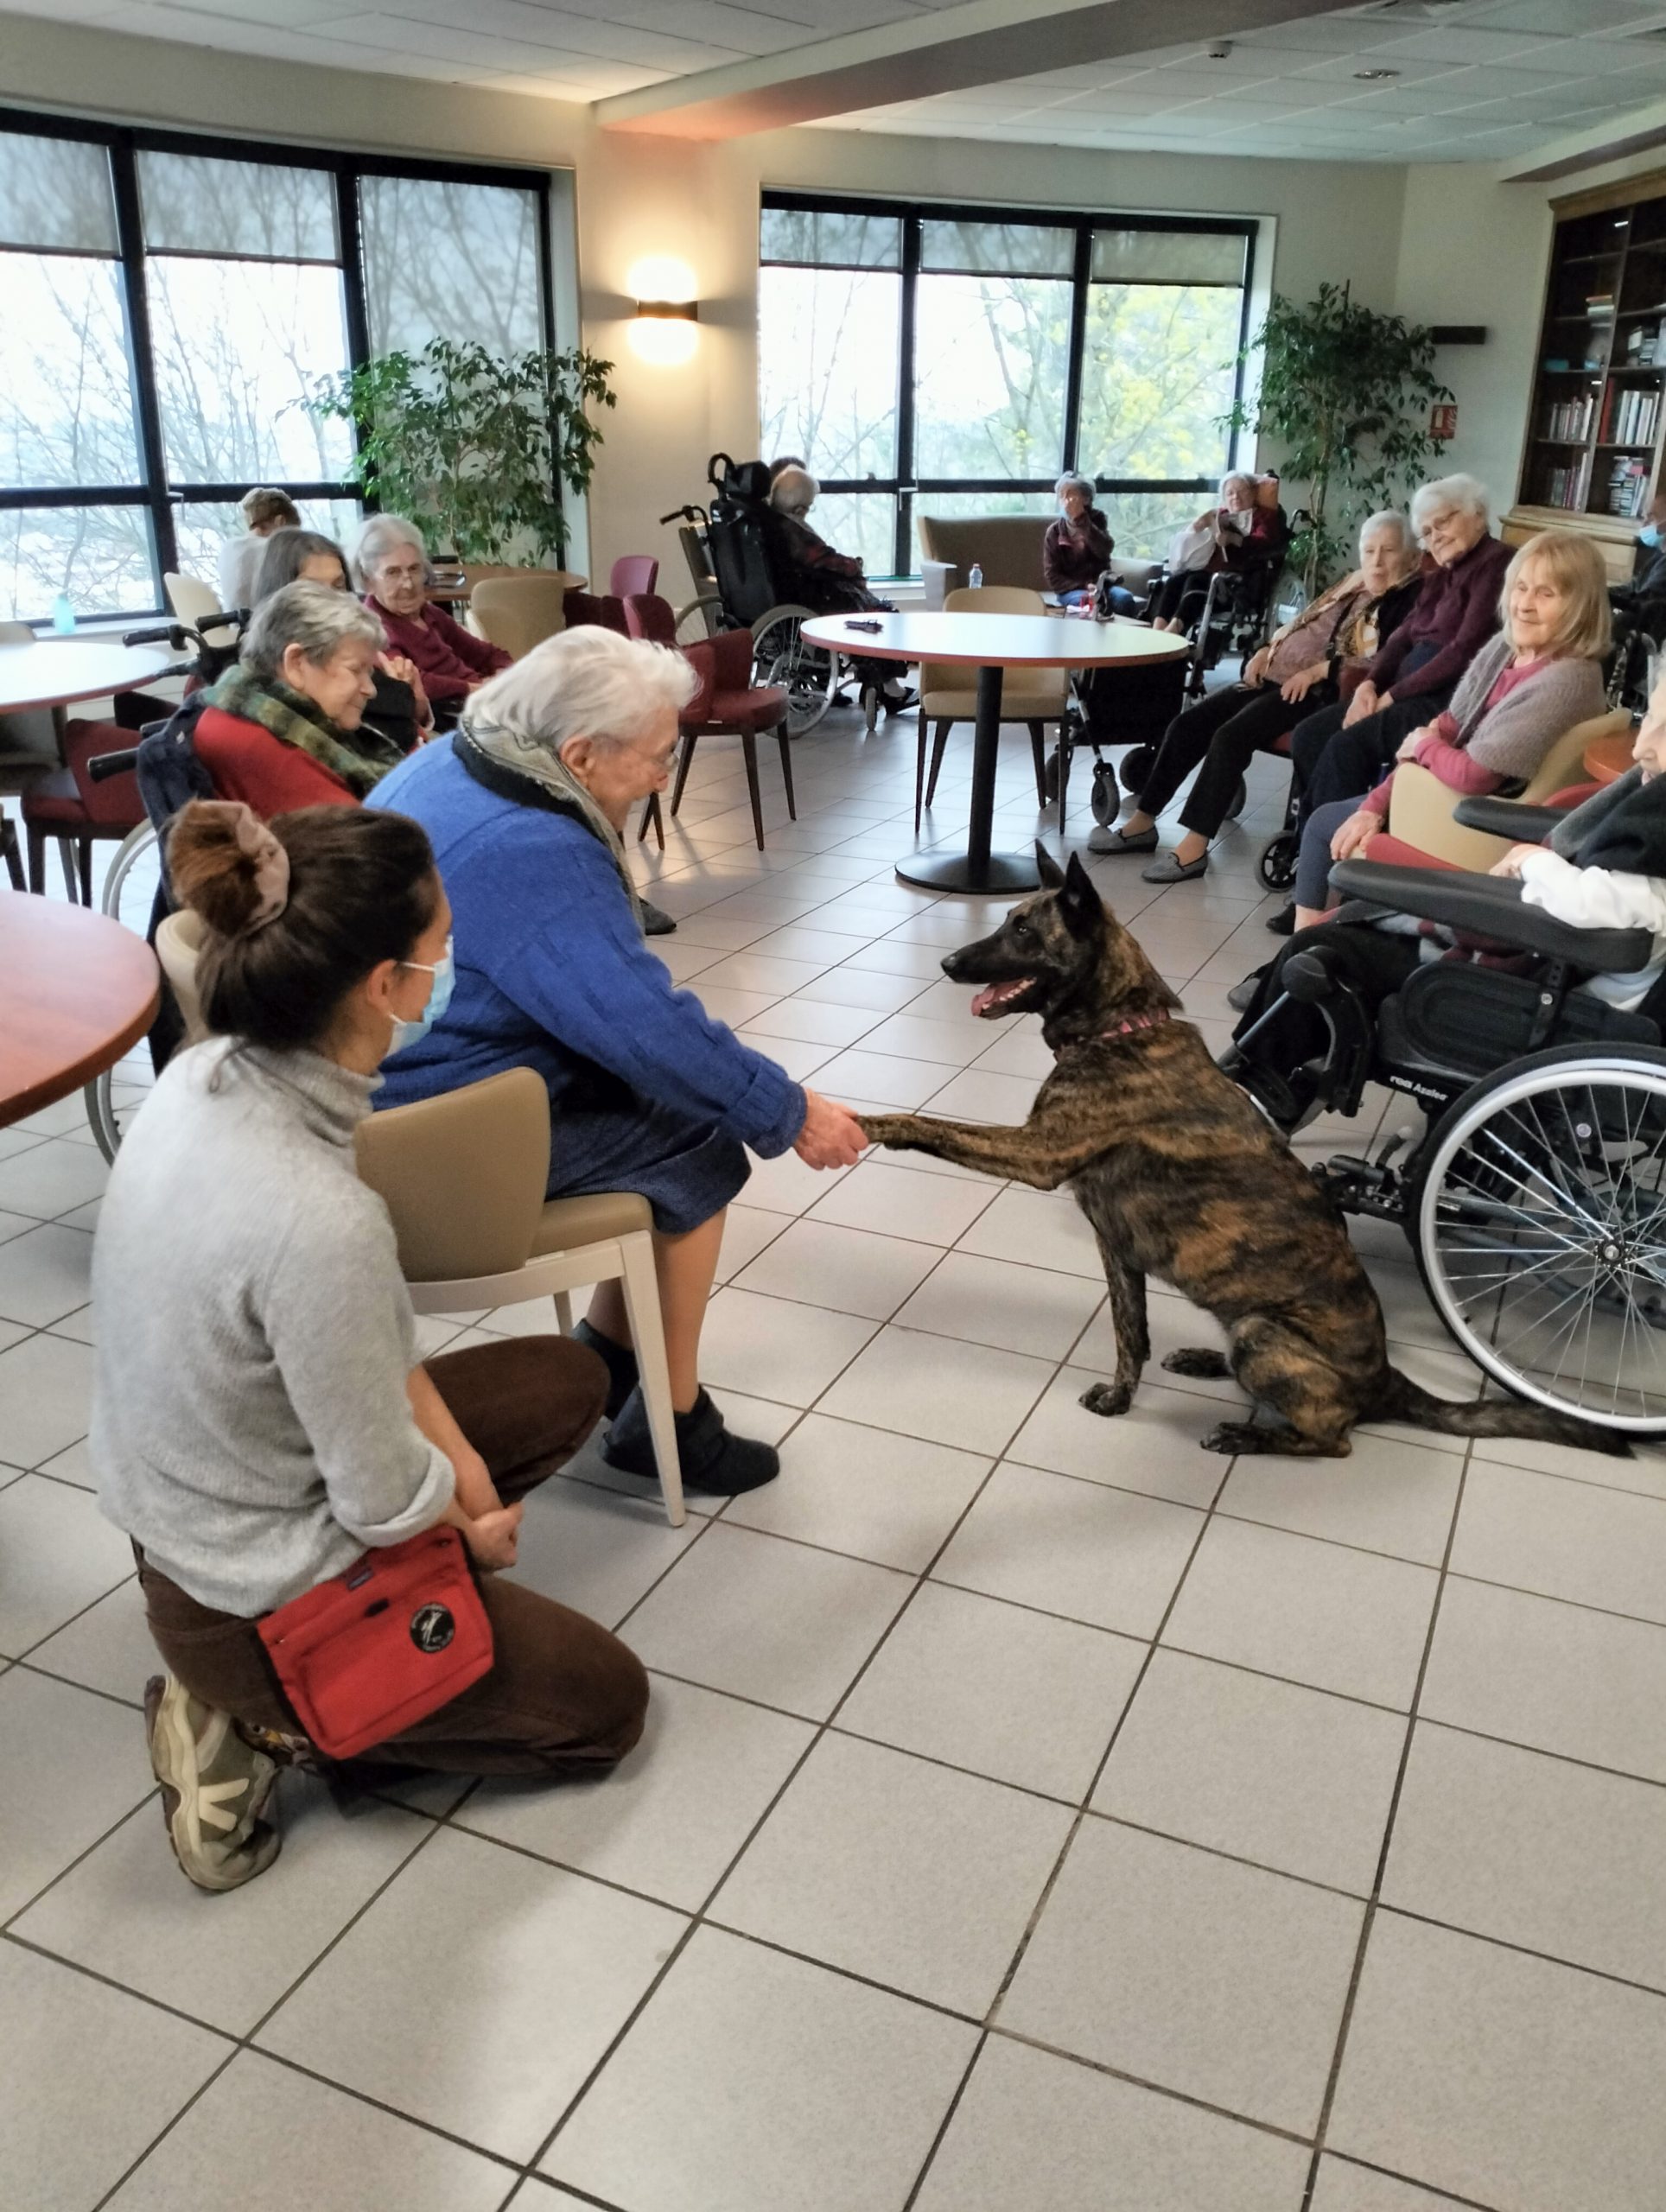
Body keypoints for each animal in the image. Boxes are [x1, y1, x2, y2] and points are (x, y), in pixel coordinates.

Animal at [858, 840, 1628, 1451]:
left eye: (1022, 929)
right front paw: (1121, 1398)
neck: (1119, 1029)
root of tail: (1386, 1380)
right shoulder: (1116, 1252)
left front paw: (873, 1125)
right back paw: (1209, 1362)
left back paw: (1249, 1435)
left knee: (1333, 1439)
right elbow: (1131, 1335)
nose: (948, 961)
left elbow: (933, 1125)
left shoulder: (1036, 1155)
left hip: (1265, 1333)